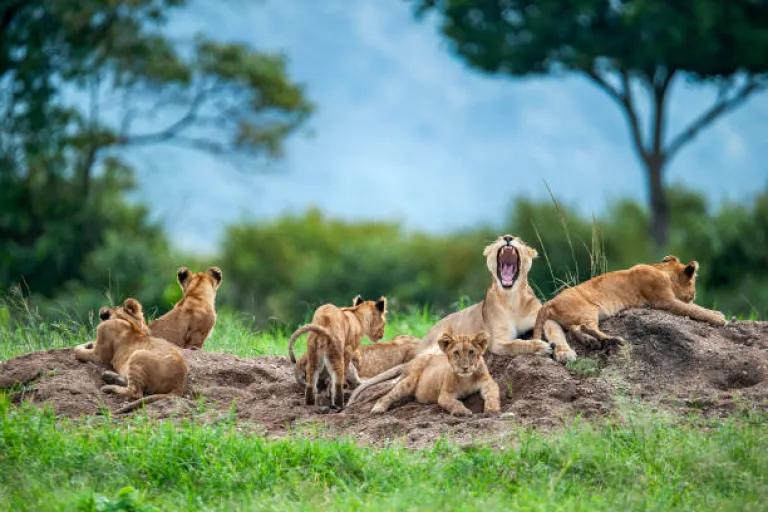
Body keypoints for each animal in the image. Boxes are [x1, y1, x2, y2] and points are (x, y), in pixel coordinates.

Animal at [364, 330, 500, 418]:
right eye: (456, 353)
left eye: (471, 352)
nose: (465, 368)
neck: (466, 378)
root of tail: (411, 361)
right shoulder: (445, 394)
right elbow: (454, 403)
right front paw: (462, 412)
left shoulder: (488, 383)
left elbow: (492, 395)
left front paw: (492, 409)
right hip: (409, 381)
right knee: (388, 395)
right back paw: (378, 409)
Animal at [416, 236, 572, 364]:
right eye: (499, 238)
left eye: (520, 241)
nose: (508, 237)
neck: (512, 298)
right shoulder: (497, 341)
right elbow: (517, 344)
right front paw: (542, 346)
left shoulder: (543, 315)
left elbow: (556, 332)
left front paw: (566, 353)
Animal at [536, 254, 728, 346]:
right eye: (694, 282)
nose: (694, 294)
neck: (663, 270)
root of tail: (549, 302)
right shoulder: (664, 301)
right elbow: (694, 310)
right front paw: (720, 319)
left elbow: (699, 308)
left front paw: (717, 313)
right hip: (589, 309)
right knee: (586, 326)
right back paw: (613, 339)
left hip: (576, 316)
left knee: (576, 328)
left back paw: (591, 343)